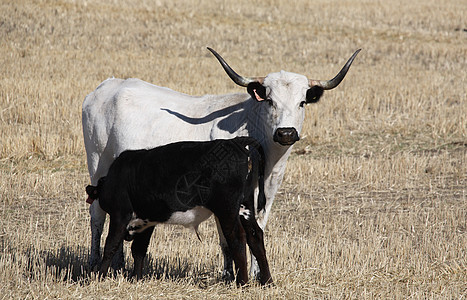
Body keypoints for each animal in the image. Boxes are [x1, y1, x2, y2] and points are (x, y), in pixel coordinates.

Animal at [82, 47, 360, 282]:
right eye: (270, 101)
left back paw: (118, 264)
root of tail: (109, 85)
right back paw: (95, 263)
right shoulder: (223, 200)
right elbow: (227, 237)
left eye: (302, 102)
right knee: (97, 216)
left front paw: (257, 274)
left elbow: (258, 230)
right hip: (97, 165)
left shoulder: (265, 195)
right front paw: (230, 274)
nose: (286, 133)